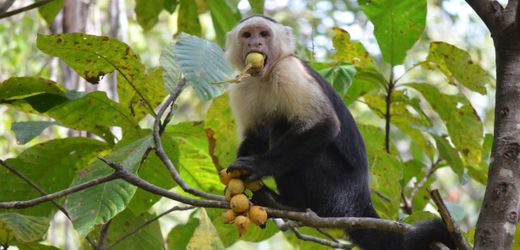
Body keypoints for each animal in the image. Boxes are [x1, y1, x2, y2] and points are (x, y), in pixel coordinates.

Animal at [223, 15, 456, 250]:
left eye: (264, 34)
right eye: (247, 35)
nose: (255, 43)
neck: (265, 75)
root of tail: (361, 201)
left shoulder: (289, 71)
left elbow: (326, 125)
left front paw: (259, 165)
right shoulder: (240, 85)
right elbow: (255, 136)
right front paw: (235, 182)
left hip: (337, 192)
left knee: (284, 129)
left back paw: (291, 204)